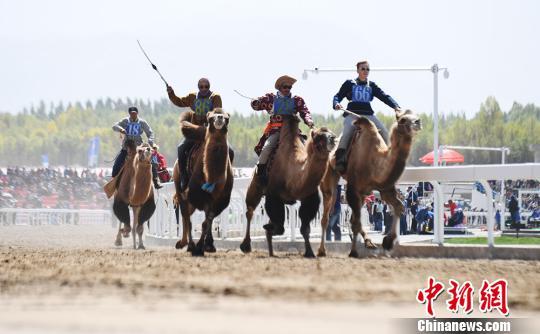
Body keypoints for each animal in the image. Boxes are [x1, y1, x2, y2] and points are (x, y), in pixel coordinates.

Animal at [172, 108, 233, 258]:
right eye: (209, 117)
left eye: (227, 118)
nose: (219, 118)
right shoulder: (197, 195)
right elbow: (197, 221)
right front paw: (196, 247)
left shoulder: (220, 200)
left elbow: (208, 220)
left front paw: (206, 246)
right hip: (179, 188)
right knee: (185, 215)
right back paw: (187, 244)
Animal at [239, 115, 336, 258]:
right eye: (319, 136)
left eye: (330, 132)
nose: (333, 138)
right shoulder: (273, 194)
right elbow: (280, 227)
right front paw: (268, 228)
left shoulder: (309, 197)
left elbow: (304, 228)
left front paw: (309, 252)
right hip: (256, 184)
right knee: (250, 211)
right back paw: (246, 245)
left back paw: (271, 251)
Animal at [316, 108, 422, 258]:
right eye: (403, 120)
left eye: (414, 115)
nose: (418, 122)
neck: (374, 161)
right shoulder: (353, 188)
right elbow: (356, 222)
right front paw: (353, 252)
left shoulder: (385, 188)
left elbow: (399, 207)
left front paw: (388, 242)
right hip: (329, 178)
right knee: (326, 215)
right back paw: (321, 250)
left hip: (363, 194)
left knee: (353, 217)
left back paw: (369, 242)